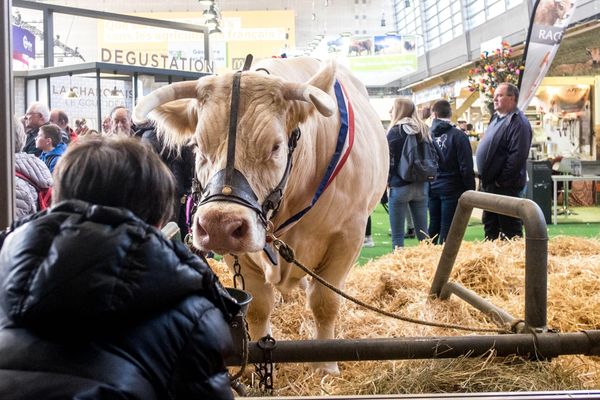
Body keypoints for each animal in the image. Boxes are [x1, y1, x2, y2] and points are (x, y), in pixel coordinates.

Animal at [132, 56, 390, 376]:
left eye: (275, 146)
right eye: (198, 146)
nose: (219, 224)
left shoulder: (348, 238)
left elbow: (325, 302)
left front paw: (326, 366)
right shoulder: (238, 253)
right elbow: (258, 307)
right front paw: (257, 368)